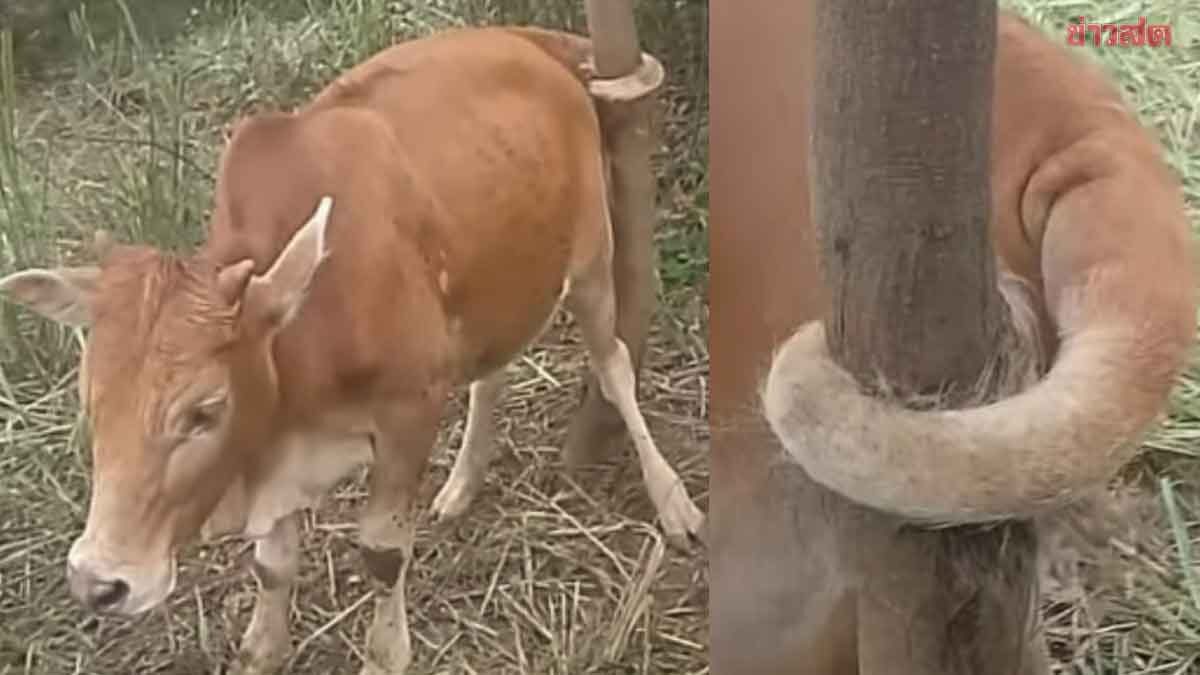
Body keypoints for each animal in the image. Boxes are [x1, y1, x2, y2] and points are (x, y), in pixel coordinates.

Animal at [0, 26, 704, 675]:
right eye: (91, 407)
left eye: (205, 411)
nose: (98, 583)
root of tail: (527, 40)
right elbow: (273, 565)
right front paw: (263, 647)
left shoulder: (409, 411)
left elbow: (382, 554)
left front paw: (386, 652)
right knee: (491, 372)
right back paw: (462, 483)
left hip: (590, 256)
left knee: (614, 366)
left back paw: (673, 500)